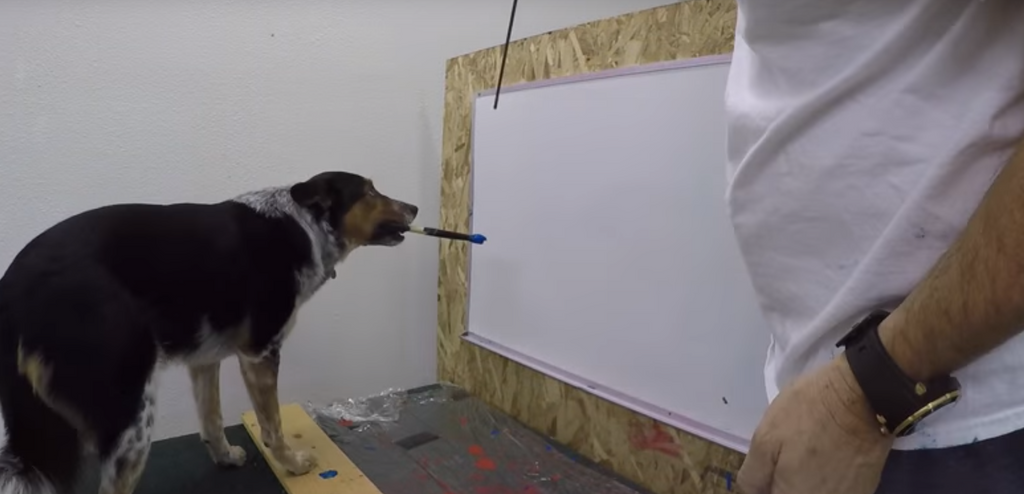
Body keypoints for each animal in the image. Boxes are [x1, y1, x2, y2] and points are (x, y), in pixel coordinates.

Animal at [0, 171, 419, 494]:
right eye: (369, 191)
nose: (415, 208)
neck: (303, 228)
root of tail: (15, 291)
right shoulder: (259, 354)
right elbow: (273, 427)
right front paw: (294, 464)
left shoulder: (205, 358)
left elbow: (212, 419)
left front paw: (225, 457)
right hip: (129, 415)